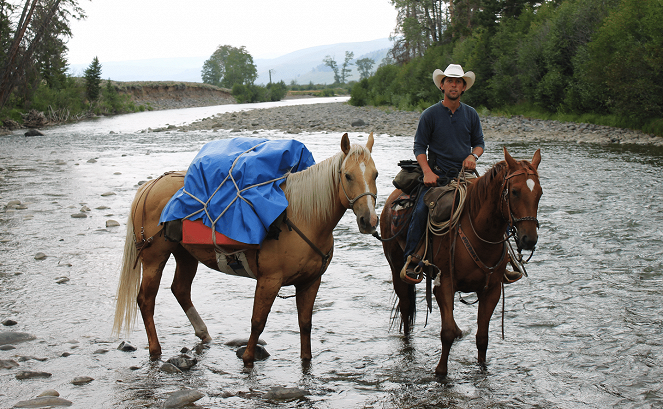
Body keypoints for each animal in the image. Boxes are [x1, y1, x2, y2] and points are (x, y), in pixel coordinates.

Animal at [111, 132, 376, 364]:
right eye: (347, 175)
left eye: (375, 174)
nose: (369, 220)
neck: (305, 219)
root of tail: (149, 186)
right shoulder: (270, 279)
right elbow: (258, 321)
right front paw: (248, 358)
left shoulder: (310, 282)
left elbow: (305, 324)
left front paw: (305, 360)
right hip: (154, 257)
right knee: (146, 300)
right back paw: (155, 349)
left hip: (185, 254)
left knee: (180, 290)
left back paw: (204, 334)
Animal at [382, 147, 544, 376]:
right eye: (514, 191)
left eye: (539, 193)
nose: (529, 240)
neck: (479, 233)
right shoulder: (444, 285)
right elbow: (447, 332)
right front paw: (441, 371)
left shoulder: (492, 289)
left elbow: (482, 337)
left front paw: (482, 368)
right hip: (396, 267)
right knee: (405, 308)